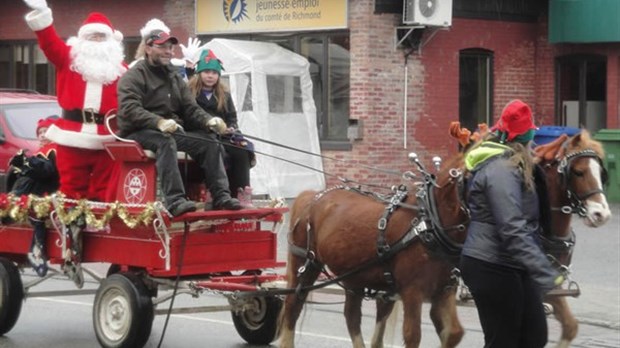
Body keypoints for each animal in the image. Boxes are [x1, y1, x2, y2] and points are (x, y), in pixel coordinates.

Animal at [278, 154, 468, 346]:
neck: (428, 223)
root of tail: (312, 196)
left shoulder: (445, 289)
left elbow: (454, 332)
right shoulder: (412, 291)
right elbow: (413, 335)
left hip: (354, 275)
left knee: (353, 315)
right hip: (306, 263)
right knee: (293, 306)